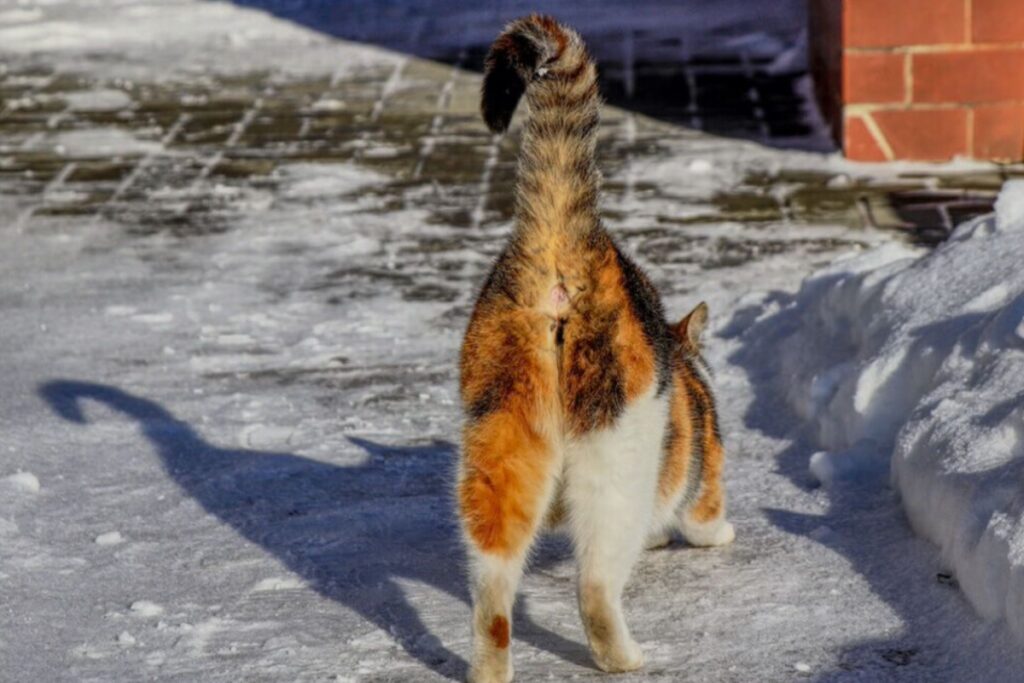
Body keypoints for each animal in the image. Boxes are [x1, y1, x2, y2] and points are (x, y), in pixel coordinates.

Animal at [458, 15, 737, 683]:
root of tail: (566, 234)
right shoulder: (705, 467)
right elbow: (703, 513)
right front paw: (715, 534)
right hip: (618, 446)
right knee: (593, 581)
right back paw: (622, 656)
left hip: (501, 432)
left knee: (493, 581)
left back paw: (490, 666)